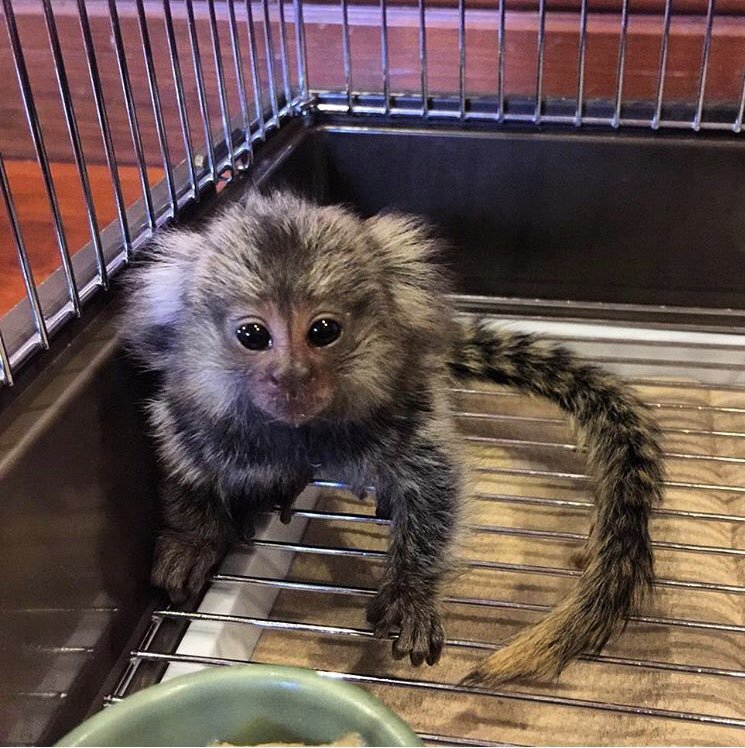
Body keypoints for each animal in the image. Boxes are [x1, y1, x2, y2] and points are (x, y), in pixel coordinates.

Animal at [121, 191, 664, 687]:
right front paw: (193, 538)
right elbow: (183, 465)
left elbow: (436, 488)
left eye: (323, 330)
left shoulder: (407, 411)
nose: (292, 376)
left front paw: (411, 592)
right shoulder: (200, 417)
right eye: (253, 335)